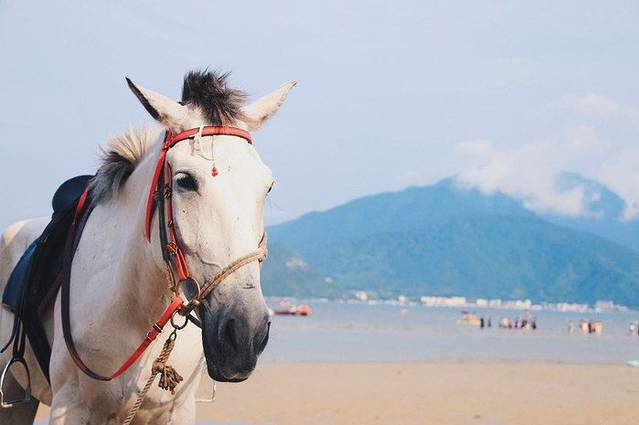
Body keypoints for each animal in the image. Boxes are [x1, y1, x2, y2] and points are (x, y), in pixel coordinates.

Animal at [0, 70, 296, 424]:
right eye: (184, 181)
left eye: (267, 186)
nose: (245, 334)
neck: (136, 312)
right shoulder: (68, 407)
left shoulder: (175, 411)